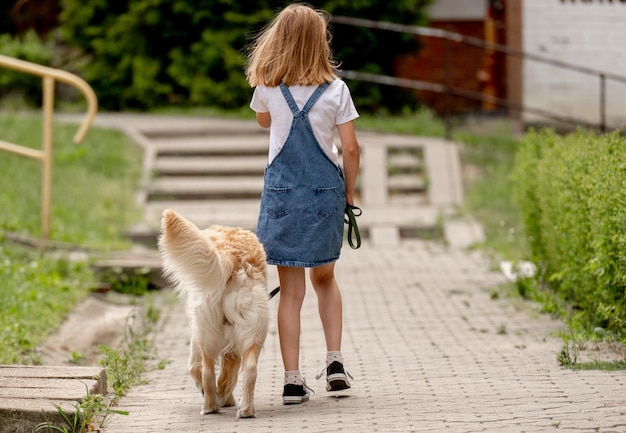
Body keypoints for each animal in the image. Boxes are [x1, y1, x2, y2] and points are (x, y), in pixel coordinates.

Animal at [157, 209, 266, 418]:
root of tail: (231, 256)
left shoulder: (197, 337)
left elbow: (195, 368)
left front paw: (220, 397)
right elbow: (225, 374)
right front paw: (225, 398)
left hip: (208, 333)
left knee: (207, 371)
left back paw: (210, 405)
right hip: (251, 331)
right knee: (249, 369)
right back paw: (244, 410)